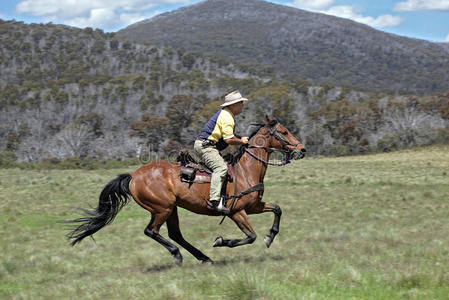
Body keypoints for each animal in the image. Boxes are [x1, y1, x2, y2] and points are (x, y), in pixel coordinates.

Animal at [66, 116, 304, 264]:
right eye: (284, 132)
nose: (302, 149)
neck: (245, 170)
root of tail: (133, 175)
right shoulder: (237, 212)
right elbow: (251, 236)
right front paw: (222, 241)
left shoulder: (253, 205)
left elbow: (277, 209)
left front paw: (270, 237)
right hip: (161, 208)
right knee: (152, 231)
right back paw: (179, 255)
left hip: (172, 208)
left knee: (175, 234)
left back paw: (203, 258)